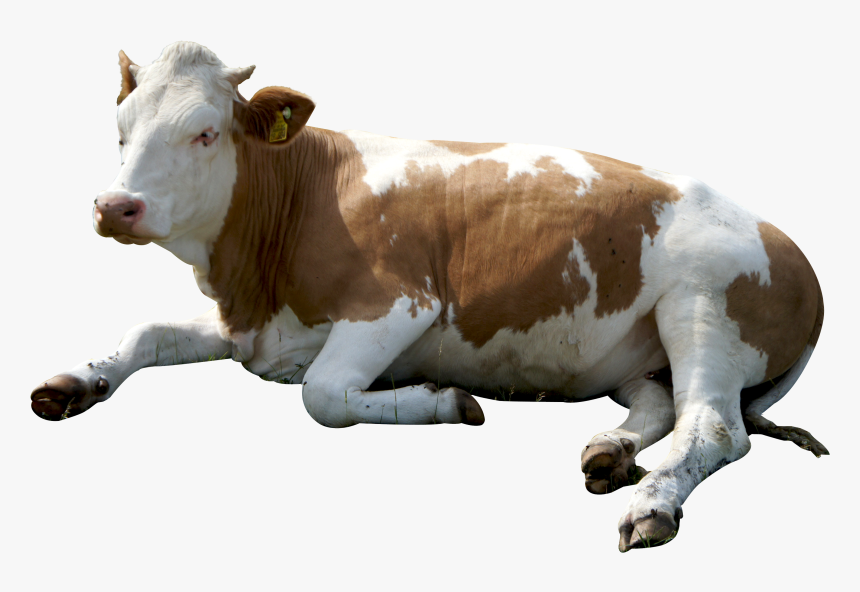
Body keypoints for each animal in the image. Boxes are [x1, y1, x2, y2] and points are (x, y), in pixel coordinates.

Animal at [30, 42, 827, 552]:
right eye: (120, 130)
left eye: (204, 133)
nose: (114, 206)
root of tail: (794, 252)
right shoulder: (254, 325)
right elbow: (145, 332)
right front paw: (72, 382)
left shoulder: (400, 304)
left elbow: (322, 395)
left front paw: (444, 401)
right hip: (642, 349)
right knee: (661, 405)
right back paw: (609, 451)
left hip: (704, 307)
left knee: (715, 428)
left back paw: (653, 502)